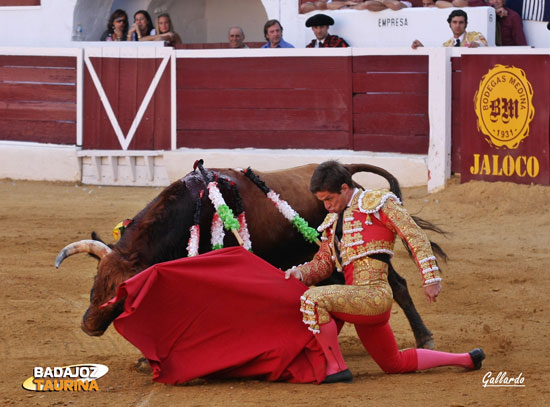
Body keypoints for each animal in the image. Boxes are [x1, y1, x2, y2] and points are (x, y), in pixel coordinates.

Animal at [56, 163, 446, 348]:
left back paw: (424, 336)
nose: (88, 325)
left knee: (396, 286)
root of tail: (348, 170)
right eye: (94, 287)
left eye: (120, 295)